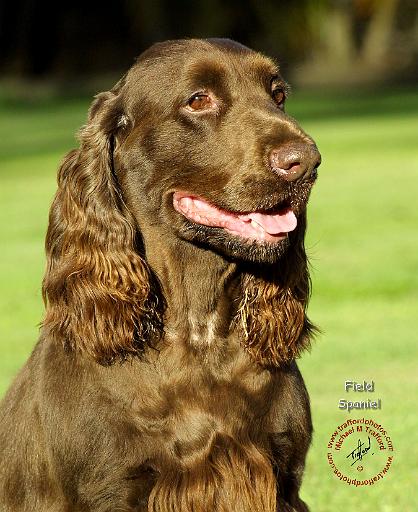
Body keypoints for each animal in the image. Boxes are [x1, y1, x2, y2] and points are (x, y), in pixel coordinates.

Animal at [0, 40, 320, 512]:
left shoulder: (283, 481)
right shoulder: (112, 489)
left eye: (278, 95)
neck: (197, 335)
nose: (307, 162)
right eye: (199, 100)